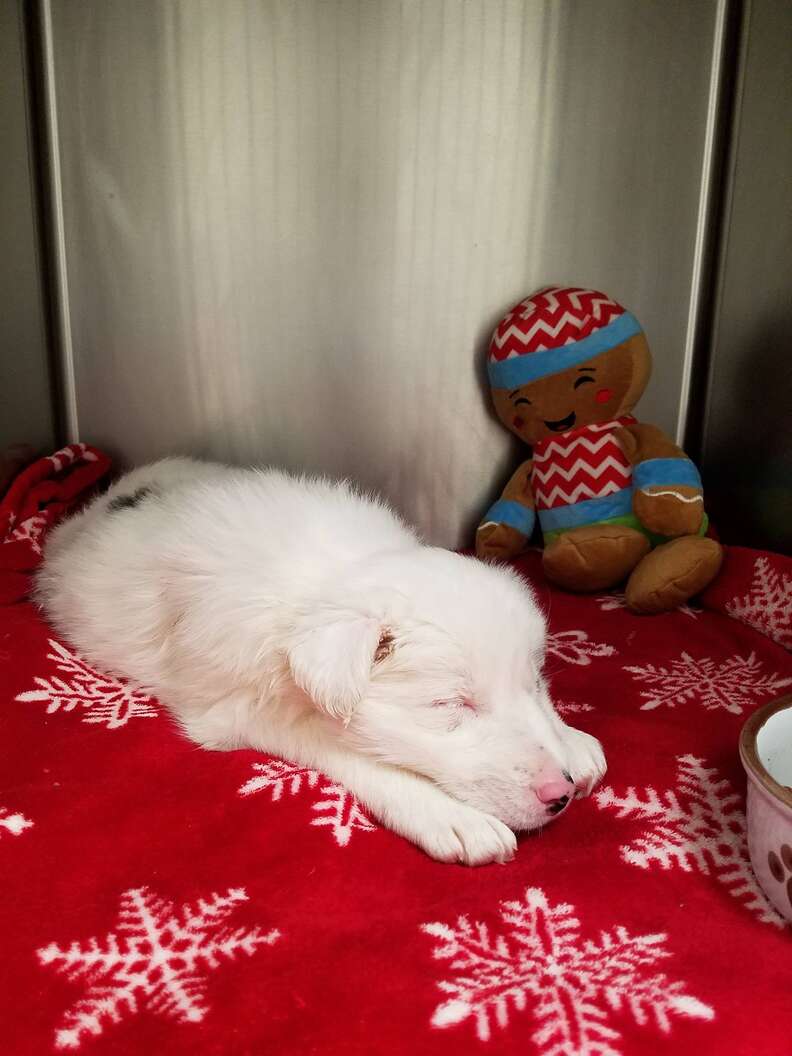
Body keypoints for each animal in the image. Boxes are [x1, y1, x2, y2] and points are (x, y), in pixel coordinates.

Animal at [35, 458, 608, 861]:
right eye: (449, 705)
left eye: (534, 684)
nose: (559, 794)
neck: (337, 575)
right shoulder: (238, 711)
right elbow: (349, 752)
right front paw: (449, 816)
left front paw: (573, 740)